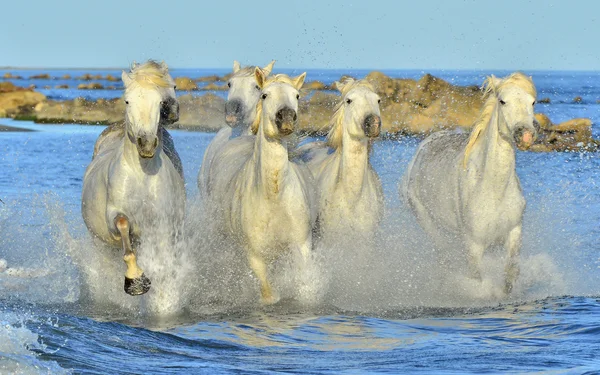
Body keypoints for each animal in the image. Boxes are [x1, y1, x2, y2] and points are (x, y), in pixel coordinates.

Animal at [81, 61, 185, 296]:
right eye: (127, 100)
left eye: (159, 101)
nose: (146, 144)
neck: (142, 174)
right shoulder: (114, 217)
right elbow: (123, 228)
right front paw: (135, 280)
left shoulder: (162, 223)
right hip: (100, 243)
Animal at [207, 67, 310, 302]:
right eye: (265, 95)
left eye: (297, 95)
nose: (286, 117)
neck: (274, 195)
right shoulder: (255, 257)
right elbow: (268, 294)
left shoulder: (301, 246)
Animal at [404, 72, 536, 296]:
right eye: (502, 101)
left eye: (533, 101)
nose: (525, 134)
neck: (493, 188)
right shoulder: (474, 245)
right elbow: (476, 279)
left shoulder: (513, 232)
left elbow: (510, 274)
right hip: (427, 221)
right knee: (444, 255)